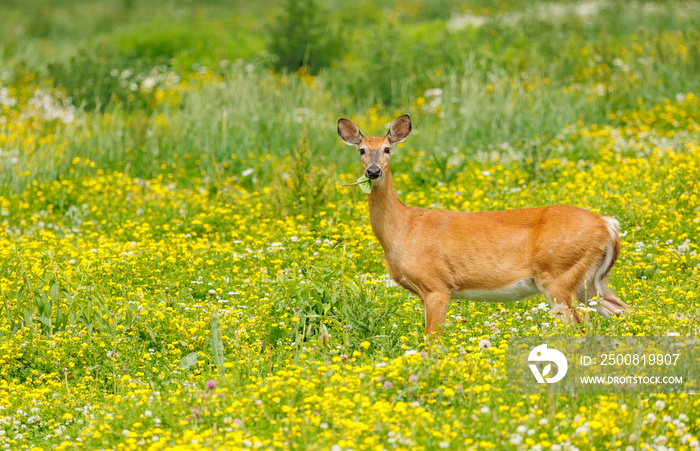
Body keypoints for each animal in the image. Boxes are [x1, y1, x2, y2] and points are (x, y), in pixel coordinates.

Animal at [336, 113, 632, 336]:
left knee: (579, 327)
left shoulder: (436, 285)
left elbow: (432, 341)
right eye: (361, 151)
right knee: (624, 310)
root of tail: (608, 224)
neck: (403, 228)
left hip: (559, 273)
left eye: (387, 149)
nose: (373, 172)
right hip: (590, 281)